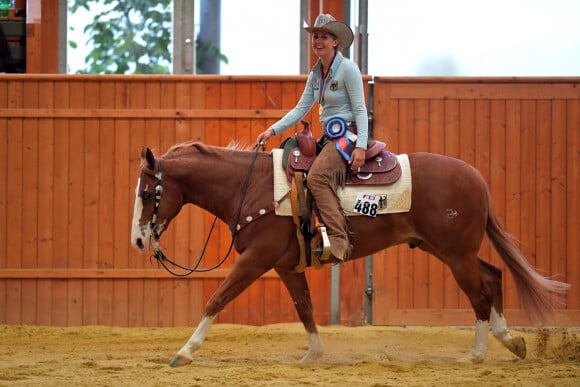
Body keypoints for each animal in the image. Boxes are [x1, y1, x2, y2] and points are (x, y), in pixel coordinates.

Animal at [129, 141, 568, 366]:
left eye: (148, 193)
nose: (138, 241)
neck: (251, 186)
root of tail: (476, 177)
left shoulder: (255, 258)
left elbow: (217, 298)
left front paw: (184, 351)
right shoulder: (286, 266)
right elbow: (304, 307)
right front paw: (314, 354)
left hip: (456, 254)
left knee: (479, 292)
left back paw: (477, 354)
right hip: (445, 249)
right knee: (494, 275)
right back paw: (510, 342)